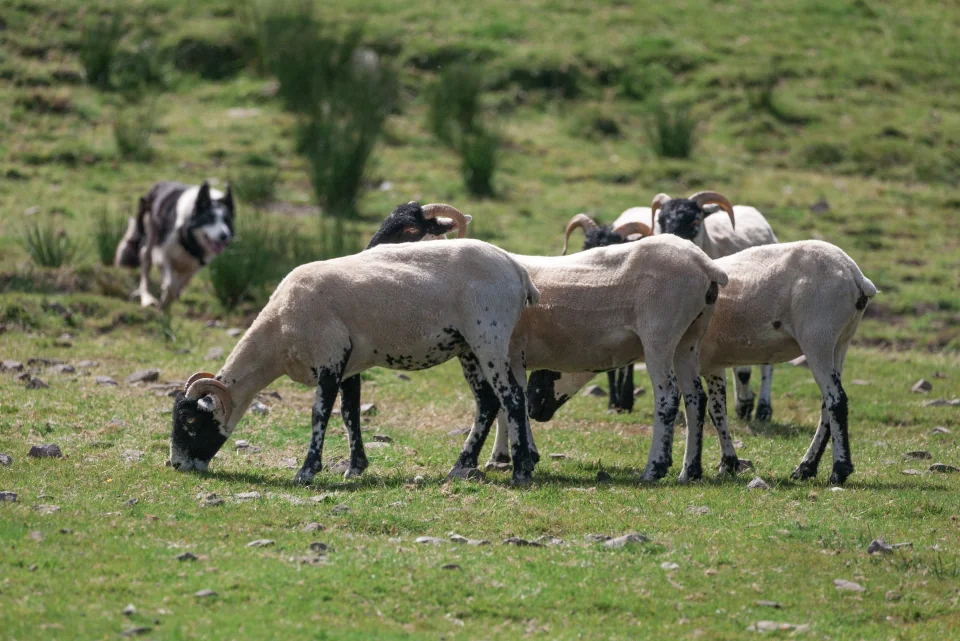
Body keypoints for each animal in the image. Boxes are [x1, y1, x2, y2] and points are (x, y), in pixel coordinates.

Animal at [169, 230, 544, 486]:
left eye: (190, 421)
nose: (175, 465)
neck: (279, 332)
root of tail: (516, 269)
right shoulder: (348, 364)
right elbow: (350, 415)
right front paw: (355, 467)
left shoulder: (329, 356)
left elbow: (320, 415)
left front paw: (306, 472)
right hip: (467, 347)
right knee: (489, 402)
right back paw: (462, 465)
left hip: (488, 336)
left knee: (510, 397)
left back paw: (521, 472)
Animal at [526, 239, 877, 485]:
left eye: (546, 371)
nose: (532, 410)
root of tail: (855, 275)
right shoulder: (711, 364)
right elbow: (716, 410)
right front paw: (727, 463)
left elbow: (704, 408)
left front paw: (716, 463)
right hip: (840, 341)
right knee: (827, 406)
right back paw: (806, 468)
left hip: (818, 336)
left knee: (836, 400)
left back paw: (838, 471)